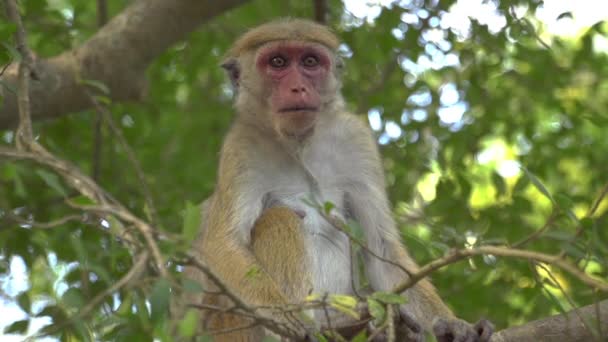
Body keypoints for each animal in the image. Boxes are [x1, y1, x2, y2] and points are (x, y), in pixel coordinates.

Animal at [184, 19, 494, 342]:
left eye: (310, 62)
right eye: (277, 62)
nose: (298, 87)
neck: (298, 144)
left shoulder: (355, 139)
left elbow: (382, 247)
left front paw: (452, 324)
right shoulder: (241, 148)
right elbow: (224, 243)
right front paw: (289, 319)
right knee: (280, 217)